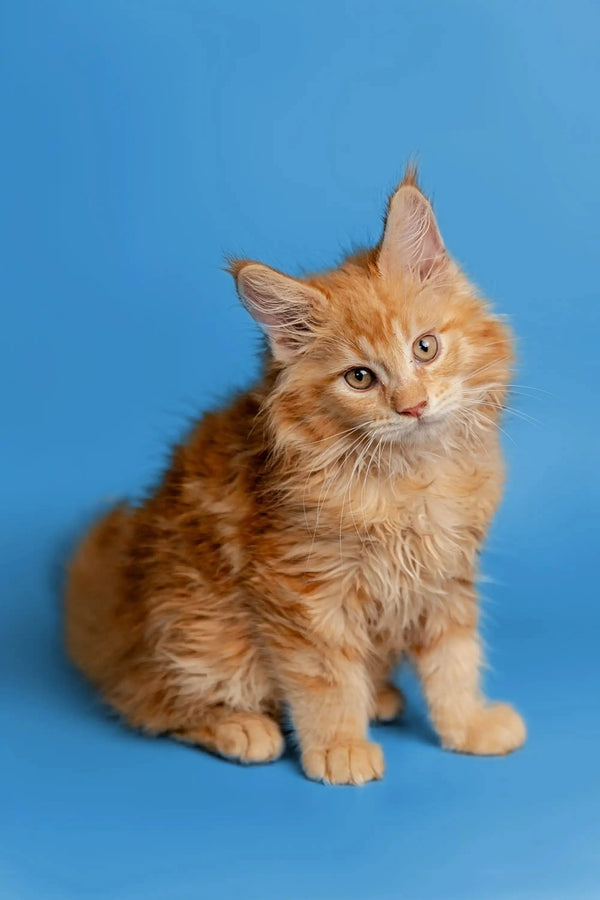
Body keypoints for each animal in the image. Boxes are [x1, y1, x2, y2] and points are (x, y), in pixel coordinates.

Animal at [65, 167, 524, 780]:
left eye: (425, 347)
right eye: (359, 378)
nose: (412, 406)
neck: (408, 476)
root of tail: (120, 626)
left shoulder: (445, 576)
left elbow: (454, 661)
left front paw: (468, 724)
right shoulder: (302, 586)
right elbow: (324, 677)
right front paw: (339, 747)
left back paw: (376, 698)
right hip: (203, 628)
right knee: (150, 703)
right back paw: (242, 726)